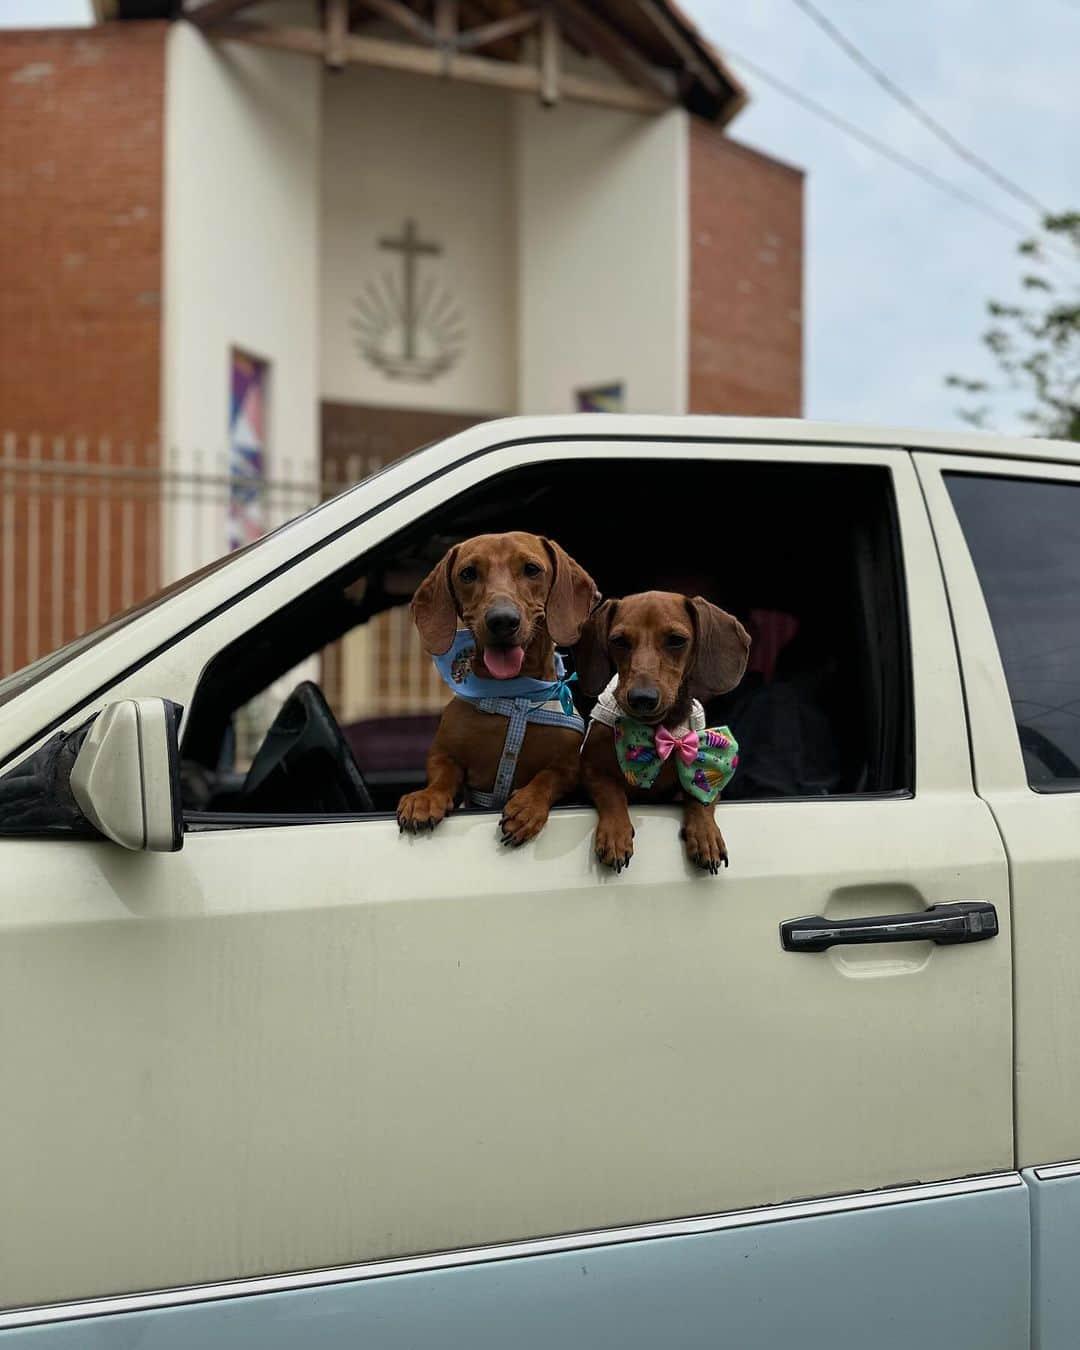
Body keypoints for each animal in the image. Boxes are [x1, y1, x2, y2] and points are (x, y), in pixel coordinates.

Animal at [396, 534, 599, 842]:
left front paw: (527, 805)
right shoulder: (443, 754)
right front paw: (426, 797)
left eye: (532, 569)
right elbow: (443, 775)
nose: (502, 620)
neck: (514, 694)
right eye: (468, 573)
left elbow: (547, 778)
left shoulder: (568, 768)